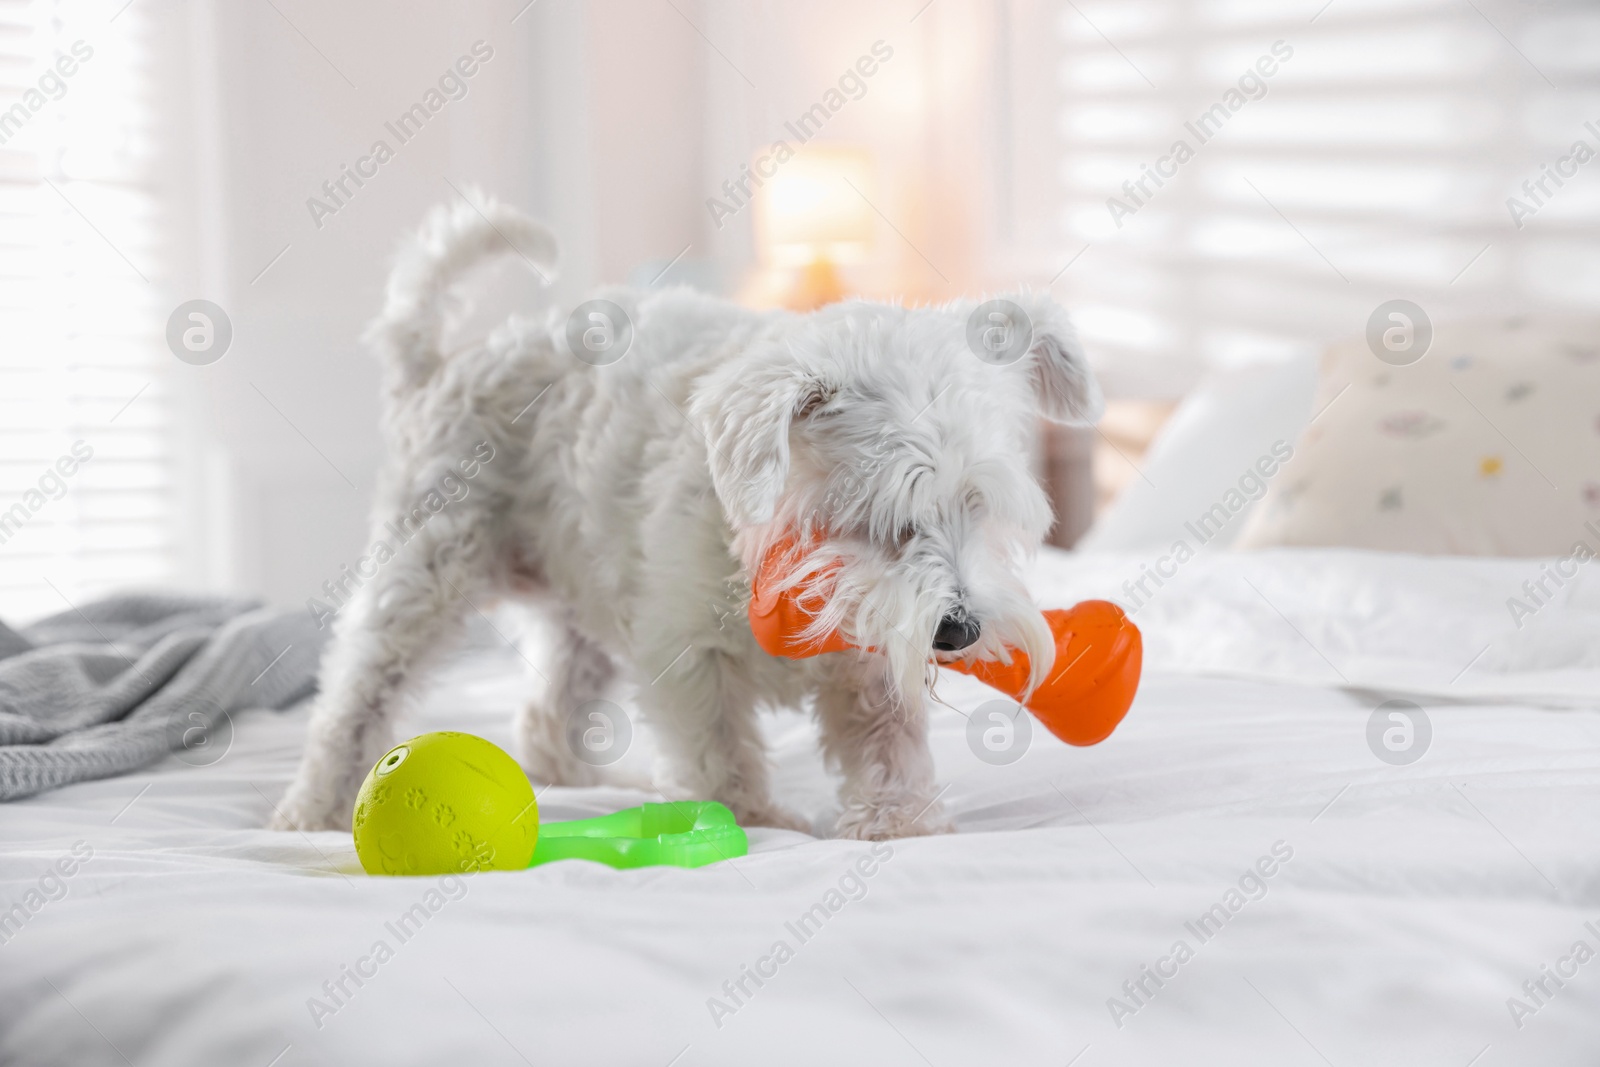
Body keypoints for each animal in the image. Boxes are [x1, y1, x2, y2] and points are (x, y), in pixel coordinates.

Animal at [272, 194, 1100, 844]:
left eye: (981, 507)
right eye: (881, 516)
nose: (958, 630)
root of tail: (444, 363)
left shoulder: (871, 654)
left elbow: (888, 739)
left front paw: (901, 819)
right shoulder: (688, 653)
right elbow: (718, 747)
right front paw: (750, 816)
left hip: (582, 607)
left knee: (545, 717)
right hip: (426, 569)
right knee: (357, 687)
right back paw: (318, 805)